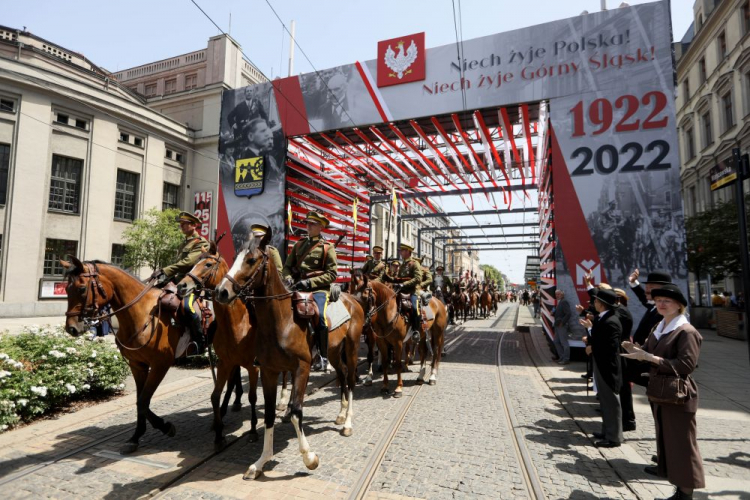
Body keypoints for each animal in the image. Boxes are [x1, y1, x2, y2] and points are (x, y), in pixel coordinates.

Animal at [61, 258, 179, 454]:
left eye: (82, 288)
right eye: (66, 289)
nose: (71, 328)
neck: (143, 315)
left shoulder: (160, 365)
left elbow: (143, 402)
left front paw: (165, 426)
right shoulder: (137, 365)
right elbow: (140, 401)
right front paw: (136, 436)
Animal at [214, 231, 364, 480]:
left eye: (252, 260)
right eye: (236, 257)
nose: (221, 291)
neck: (281, 321)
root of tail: (352, 299)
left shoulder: (302, 368)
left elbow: (295, 411)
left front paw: (309, 458)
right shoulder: (268, 371)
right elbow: (269, 414)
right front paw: (260, 462)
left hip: (352, 349)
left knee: (351, 380)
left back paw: (348, 423)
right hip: (334, 351)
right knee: (342, 374)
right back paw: (341, 414)